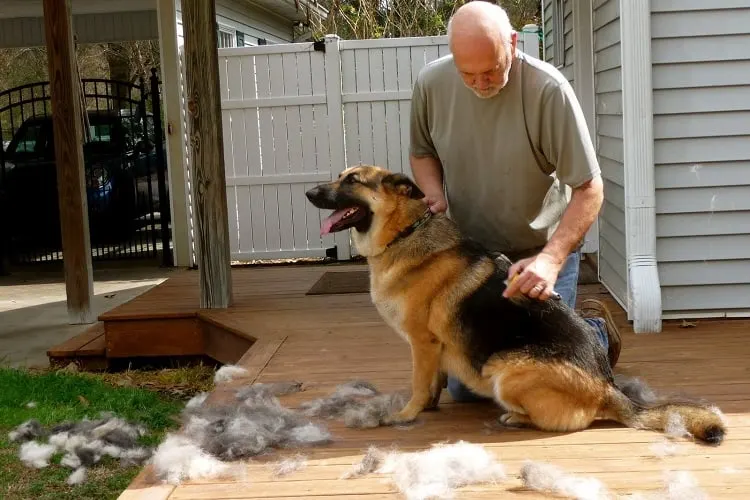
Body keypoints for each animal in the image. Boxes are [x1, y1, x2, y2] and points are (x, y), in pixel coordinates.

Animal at [306, 165, 728, 446]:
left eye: (352, 181)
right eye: (341, 176)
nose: (309, 193)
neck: (406, 233)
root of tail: (607, 385)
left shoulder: (422, 343)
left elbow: (418, 384)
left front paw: (407, 414)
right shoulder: (433, 349)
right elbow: (433, 383)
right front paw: (430, 406)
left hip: (504, 372)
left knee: (560, 421)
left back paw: (514, 417)